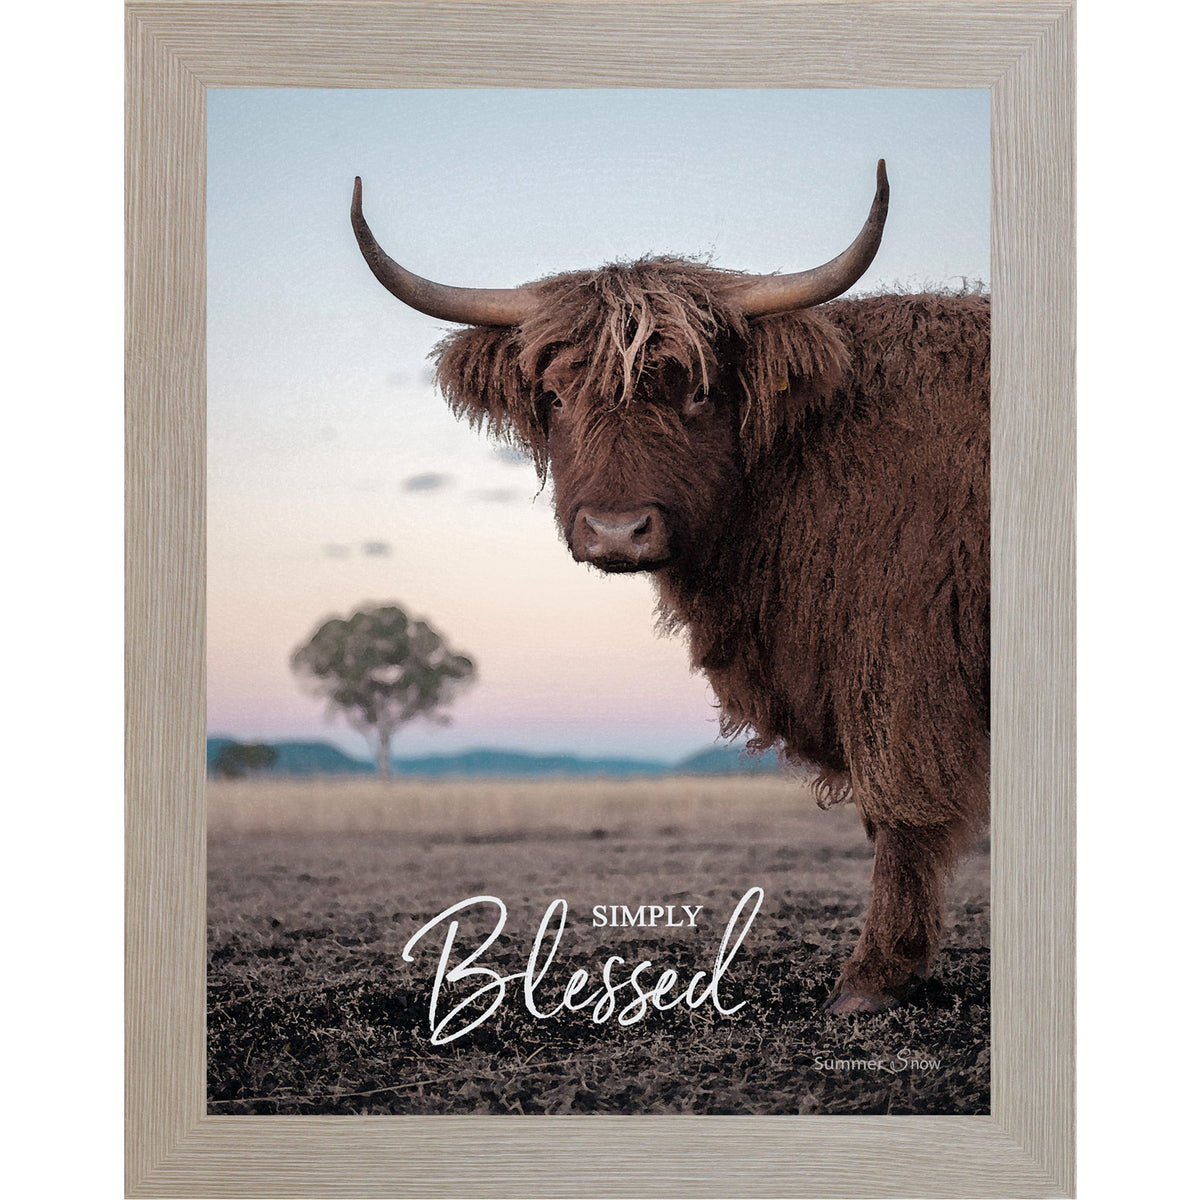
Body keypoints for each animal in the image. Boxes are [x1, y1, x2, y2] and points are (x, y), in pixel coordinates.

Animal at [350, 161, 989, 1014]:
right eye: (556, 397)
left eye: (697, 392)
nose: (617, 531)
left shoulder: (902, 658)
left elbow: (899, 810)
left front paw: (872, 977)